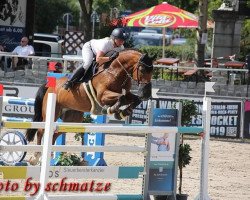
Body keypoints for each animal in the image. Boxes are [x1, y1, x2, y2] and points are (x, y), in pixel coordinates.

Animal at [24, 49, 154, 165]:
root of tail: (49, 85)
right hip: (52, 112)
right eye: (142, 69)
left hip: (73, 119)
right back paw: (36, 157)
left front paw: (123, 112)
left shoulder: (127, 94)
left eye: (152, 70)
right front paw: (111, 109)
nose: (147, 94)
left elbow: (134, 99)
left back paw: (47, 155)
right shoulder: (102, 96)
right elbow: (120, 98)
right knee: (41, 131)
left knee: (55, 133)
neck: (115, 72)